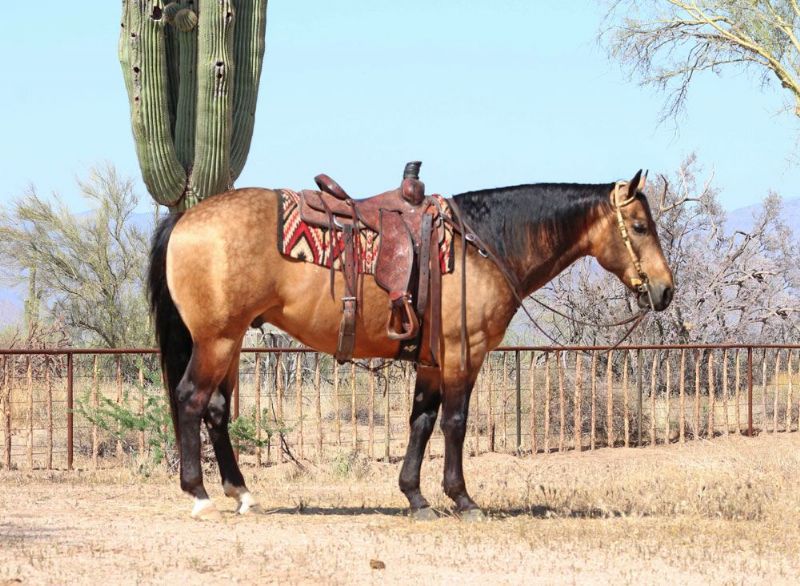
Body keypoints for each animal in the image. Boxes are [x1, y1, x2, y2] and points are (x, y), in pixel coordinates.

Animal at [147, 169, 674, 520]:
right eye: (641, 227)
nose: (665, 291)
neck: (482, 247)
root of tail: (186, 218)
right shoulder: (464, 353)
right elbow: (455, 423)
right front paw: (462, 499)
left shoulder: (432, 362)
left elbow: (421, 422)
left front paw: (416, 497)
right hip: (216, 340)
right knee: (191, 400)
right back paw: (199, 495)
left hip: (230, 341)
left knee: (216, 411)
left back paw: (241, 493)